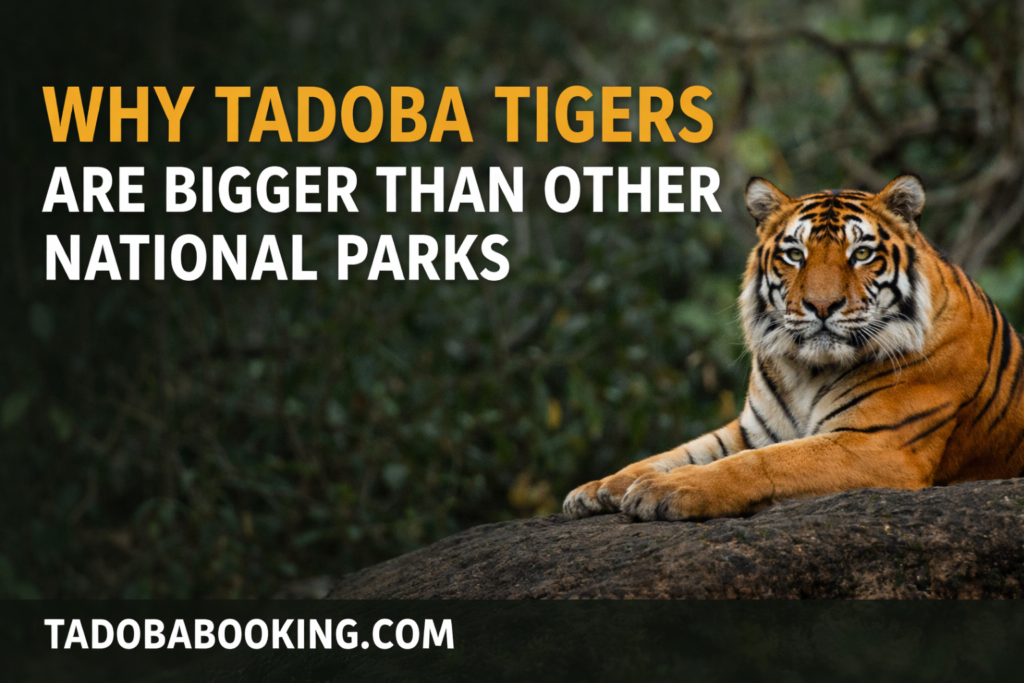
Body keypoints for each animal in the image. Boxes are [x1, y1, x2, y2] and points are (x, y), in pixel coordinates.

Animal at [564, 174, 1024, 521]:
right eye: (795, 254)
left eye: (861, 253)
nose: (821, 305)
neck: (808, 370)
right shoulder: (751, 430)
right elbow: (680, 452)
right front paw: (598, 489)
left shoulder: (876, 444)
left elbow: (762, 463)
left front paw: (665, 490)